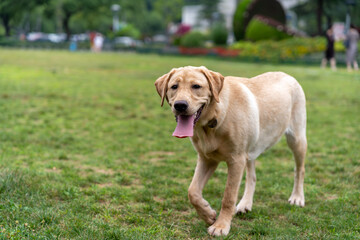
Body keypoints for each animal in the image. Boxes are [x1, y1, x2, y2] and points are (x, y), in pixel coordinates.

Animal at [155, 65, 306, 236]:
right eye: (174, 87)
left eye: (196, 86)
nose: (180, 105)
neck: (216, 115)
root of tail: (286, 74)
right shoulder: (207, 159)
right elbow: (192, 191)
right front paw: (208, 214)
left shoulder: (236, 161)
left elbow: (228, 196)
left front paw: (221, 226)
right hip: (252, 147)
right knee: (252, 176)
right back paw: (245, 203)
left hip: (297, 139)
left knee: (300, 170)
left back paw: (297, 197)